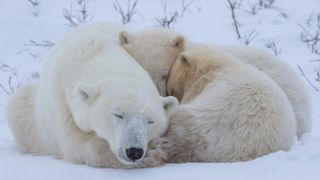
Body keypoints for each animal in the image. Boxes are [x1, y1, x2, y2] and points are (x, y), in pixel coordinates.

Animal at [6, 22, 178, 169]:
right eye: (118, 115)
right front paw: (155, 152)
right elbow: (75, 144)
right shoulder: (62, 102)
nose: (134, 151)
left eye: (150, 121)